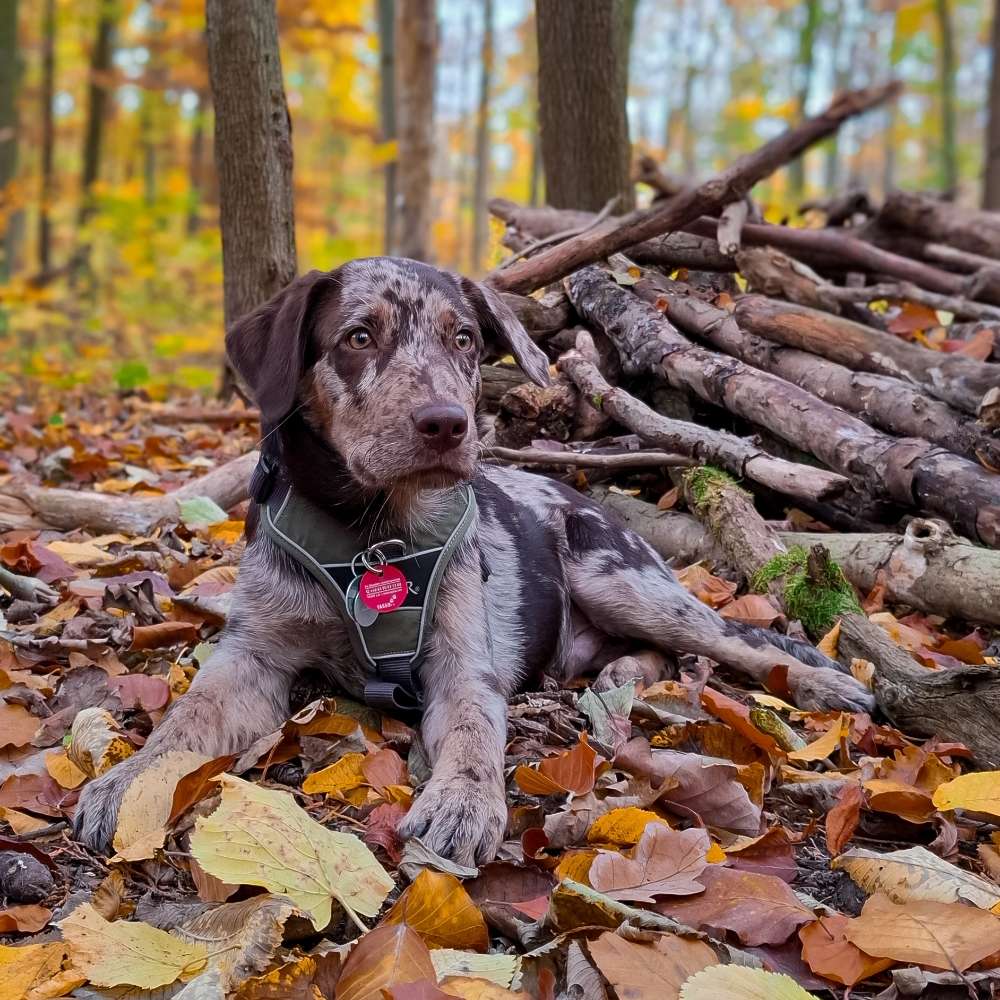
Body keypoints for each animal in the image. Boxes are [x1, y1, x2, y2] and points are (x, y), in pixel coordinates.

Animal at [76, 258, 876, 868]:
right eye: (358, 336)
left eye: (463, 338)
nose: (446, 424)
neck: (372, 533)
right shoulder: (251, 652)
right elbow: (187, 718)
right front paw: (129, 780)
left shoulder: (463, 658)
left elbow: (471, 731)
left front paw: (461, 803)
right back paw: (621, 671)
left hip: (620, 578)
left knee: (737, 637)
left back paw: (827, 685)